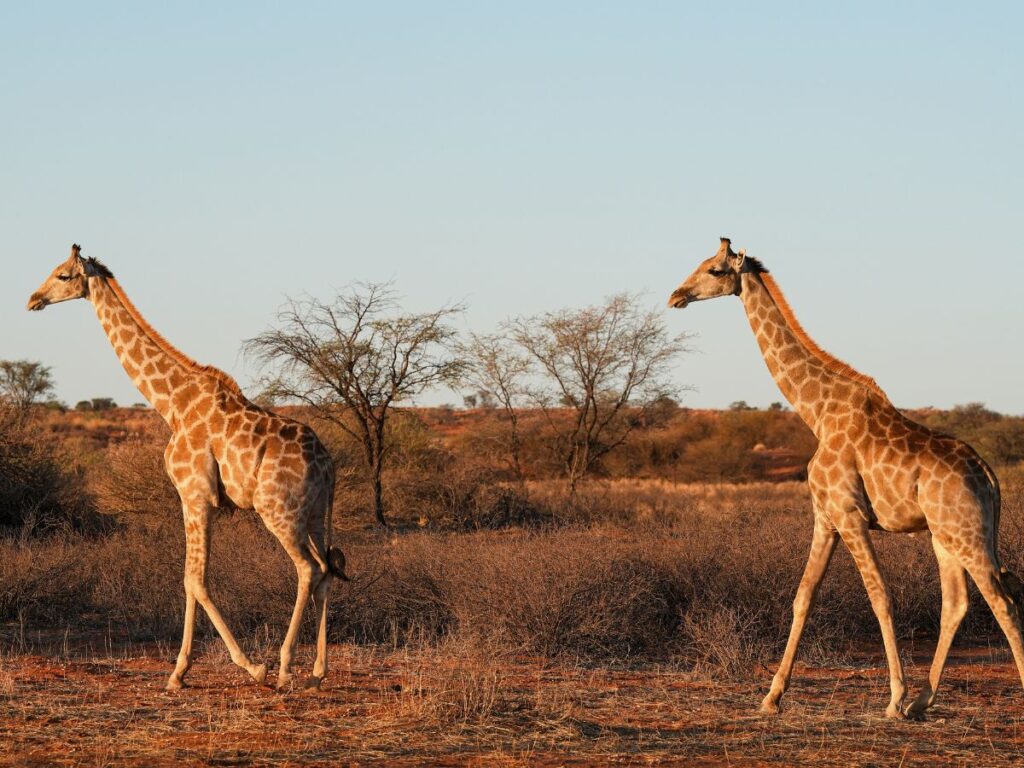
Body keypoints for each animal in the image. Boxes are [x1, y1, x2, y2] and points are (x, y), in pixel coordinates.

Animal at [27, 244, 348, 691]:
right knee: (326, 571)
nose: (32, 300)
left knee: (308, 568)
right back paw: (318, 672)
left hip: (278, 510)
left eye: (62, 275)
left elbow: (194, 578)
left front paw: (240, 666)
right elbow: (190, 578)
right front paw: (181, 671)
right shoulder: (199, 499)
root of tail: (327, 464)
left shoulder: (194, 494)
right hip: (315, 511)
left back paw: (285, 667)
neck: (171, 403)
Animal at [668, 237, 1024, 719]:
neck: (816, 411)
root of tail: (989, 476)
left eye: (716, 270)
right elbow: (804, 595)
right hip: (947, 534)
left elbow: (879, 596)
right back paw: (923, 702)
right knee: (959, 602)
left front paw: (893, 697)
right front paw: (771, 696)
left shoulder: (850, 514)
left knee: (1001, 598)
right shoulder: (826, 516)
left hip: (965, 533)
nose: (676, 296)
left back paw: (923, 699)